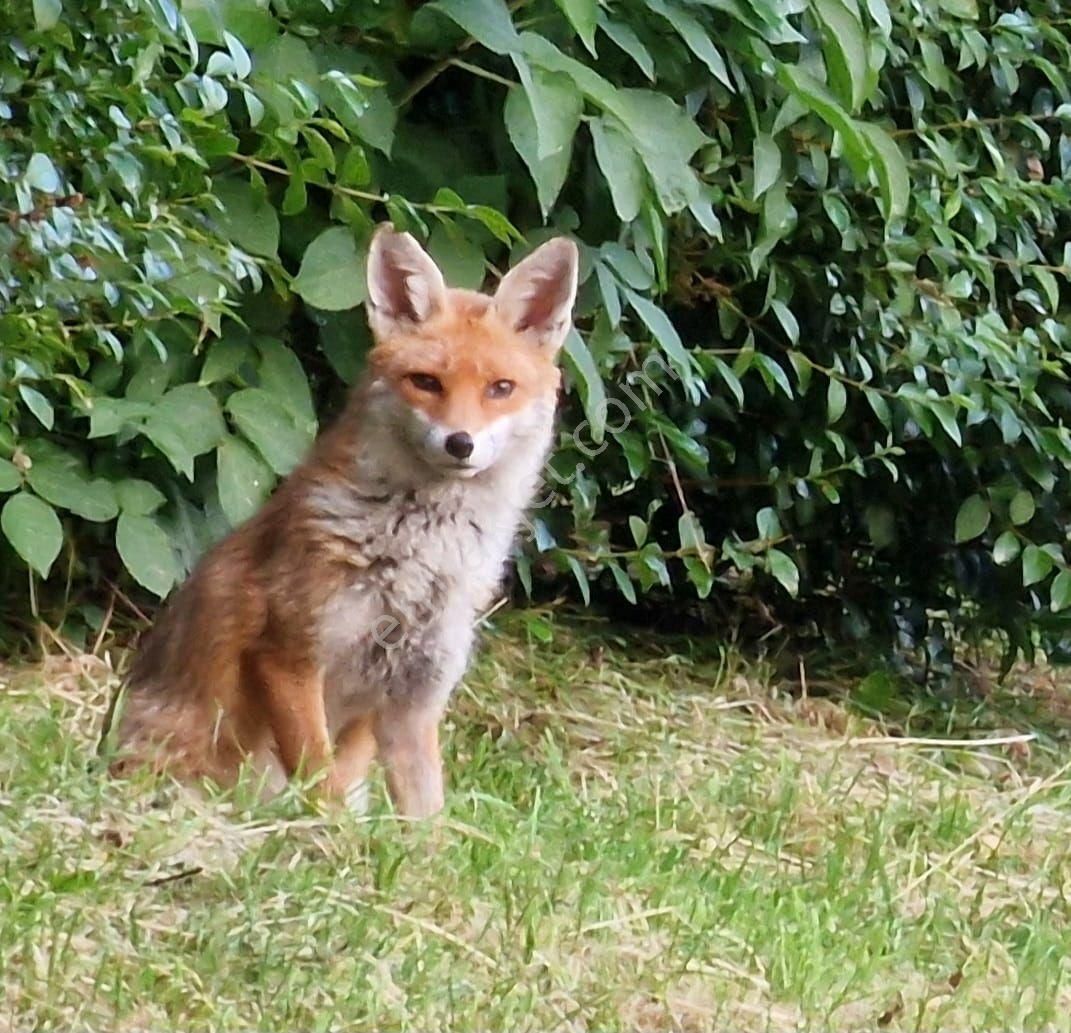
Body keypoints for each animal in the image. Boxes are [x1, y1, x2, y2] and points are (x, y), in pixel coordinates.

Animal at [107, 223, 578, 813]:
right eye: (426, 382)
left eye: (501, 389)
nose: (460, 443)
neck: (419, 565)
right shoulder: (288, 658)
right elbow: (322, 788)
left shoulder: (413, 701)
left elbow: (428, 819)